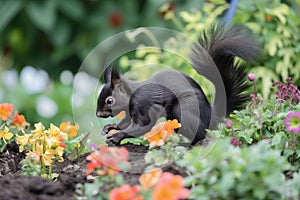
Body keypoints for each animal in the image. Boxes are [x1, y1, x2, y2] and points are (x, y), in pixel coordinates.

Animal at [96, 24, 260, 145]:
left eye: (110, 100)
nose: (98, 114)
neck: (131, 93)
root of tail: (211, 116)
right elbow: (126, 122)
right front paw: (110, 127)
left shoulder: (142, 103)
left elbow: (144, 125)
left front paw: (116, 136)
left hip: (181, 109)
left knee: (200, 134)